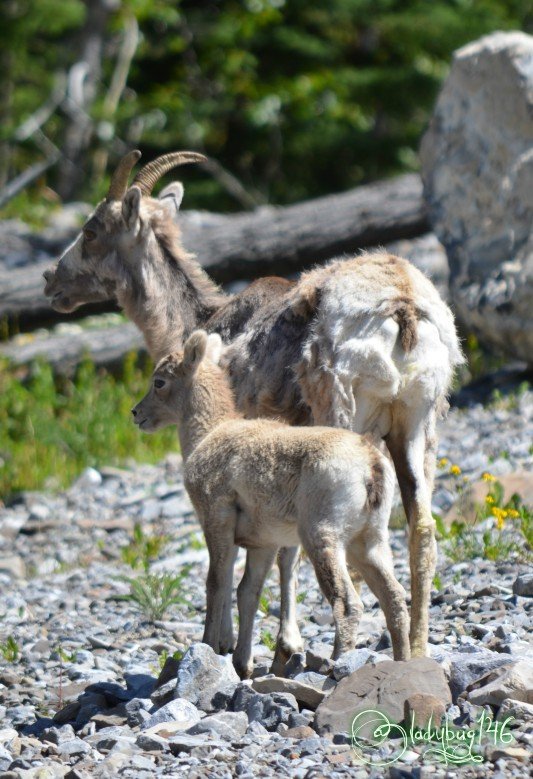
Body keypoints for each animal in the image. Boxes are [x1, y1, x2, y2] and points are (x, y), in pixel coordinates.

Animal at [131, 332, 410, 680]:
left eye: (159, 381)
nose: (136, 413)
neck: (208, 435)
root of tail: (370, 464)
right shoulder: (263, 543)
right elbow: (247, 592)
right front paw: (241, 664)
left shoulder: (217, 520)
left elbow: (217, 584)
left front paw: (210, 646)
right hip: (368, 542)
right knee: (394, 599)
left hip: (323, 539)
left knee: (347, 604)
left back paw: (336, 667)